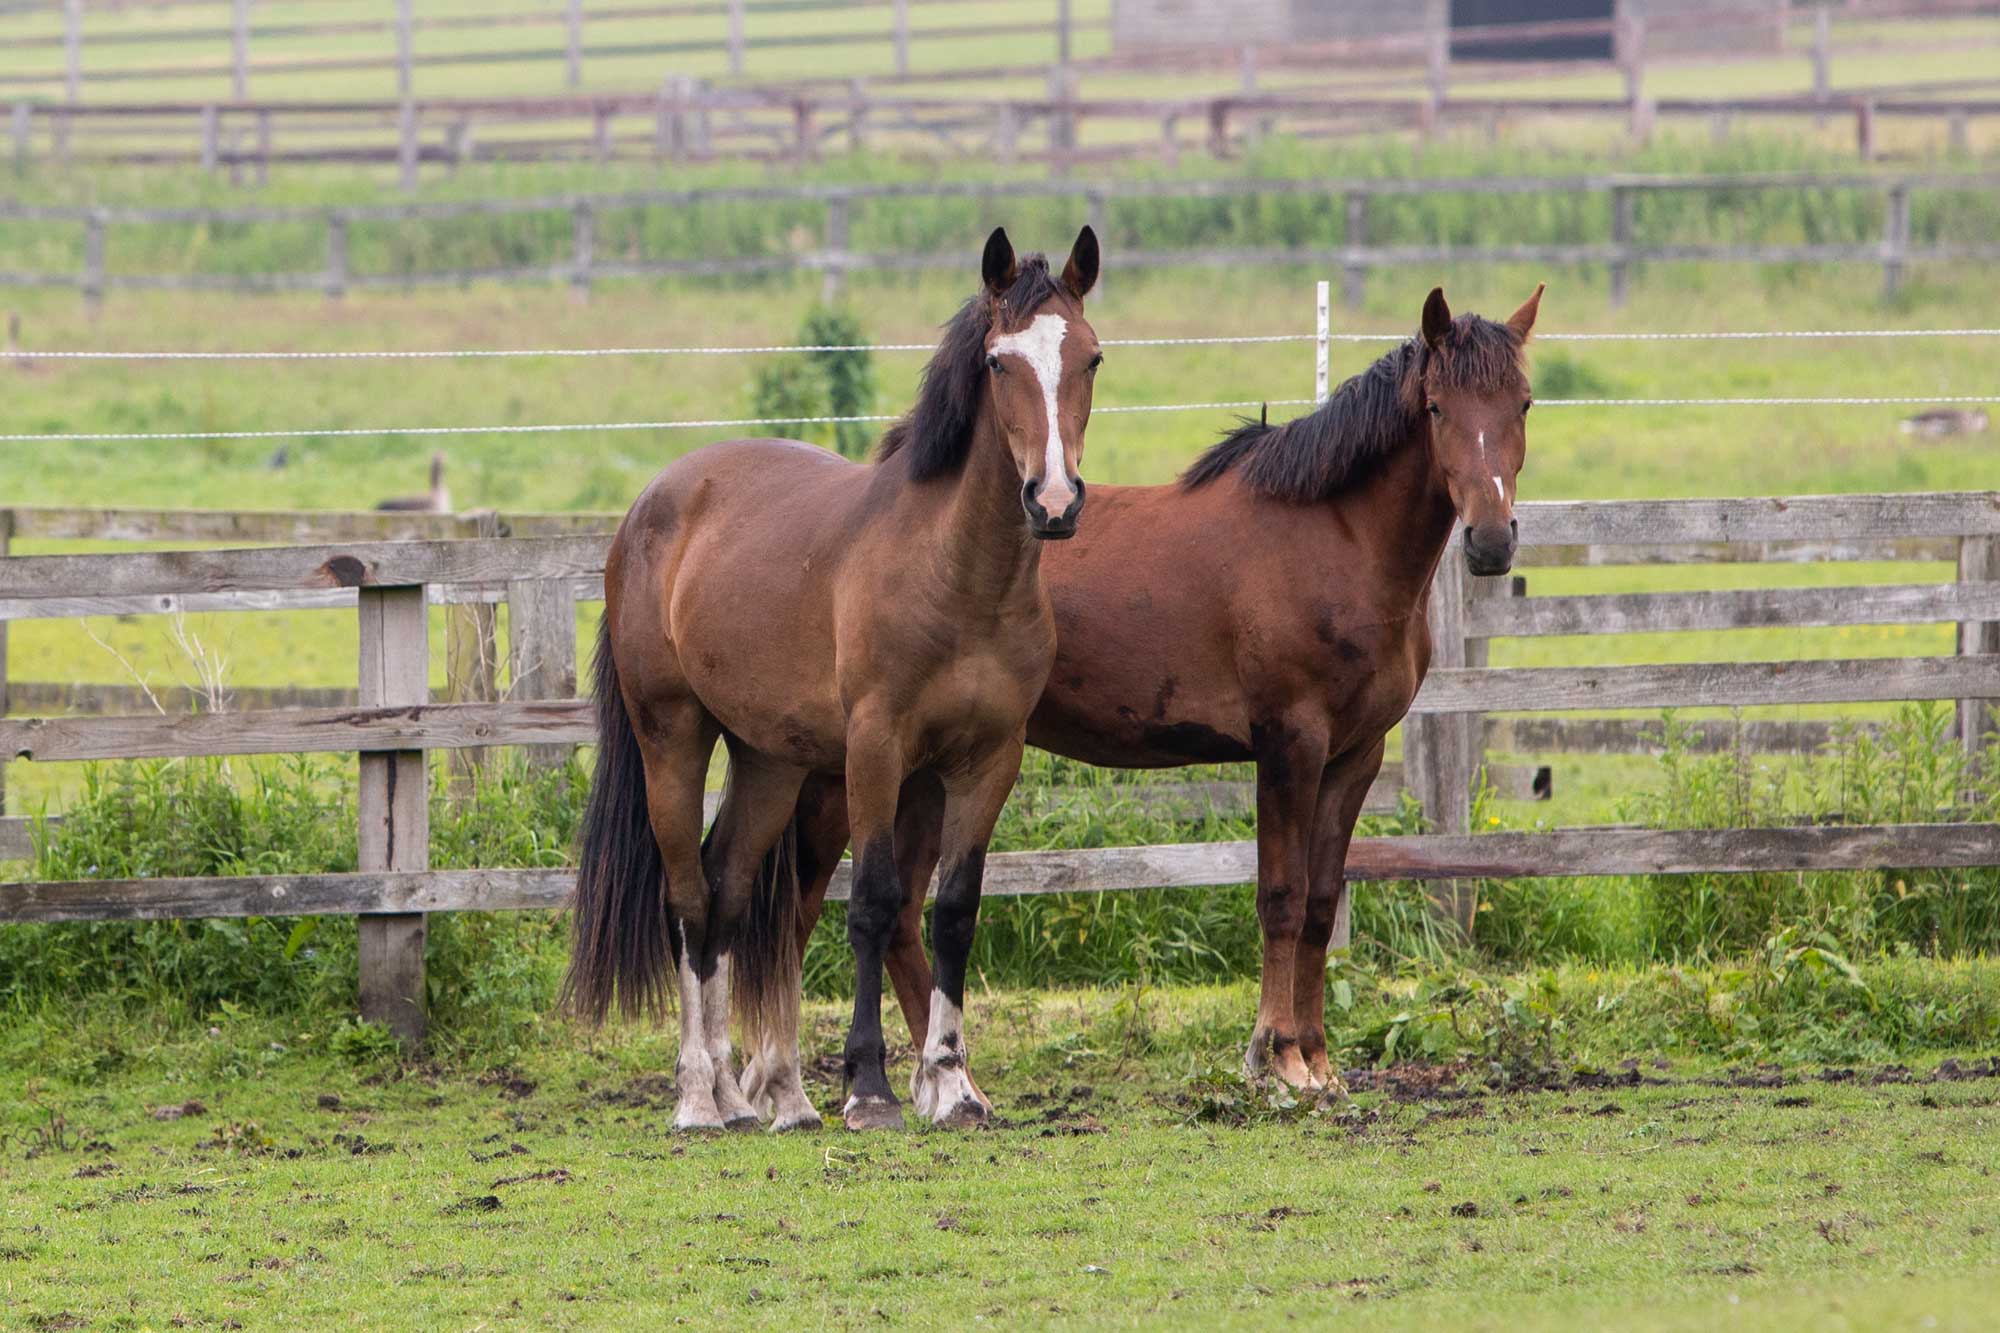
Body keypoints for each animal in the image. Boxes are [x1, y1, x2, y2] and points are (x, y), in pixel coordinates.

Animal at [568, 223, 1112, 1128]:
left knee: (728, 891)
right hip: (672, 735)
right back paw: (698, 1096)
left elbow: (953, 911)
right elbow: (873, 904)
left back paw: (752, 1096)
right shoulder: (875, 751)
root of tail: (654, 501)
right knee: (688, 897)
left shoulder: (988, 760)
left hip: (769, 763)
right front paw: (870, 1085)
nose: (1055, 499)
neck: (957, 577)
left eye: (1092, 358)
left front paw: (952, 1083)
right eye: (999, 361)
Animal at [772, 280, 1536, 1088]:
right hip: (852, 771)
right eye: (1437, 408)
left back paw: (940, 1070)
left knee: (899, 920)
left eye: (1522, 403)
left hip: (927, 767)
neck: (1335, 541)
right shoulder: (1289, 745)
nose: (1491, 540)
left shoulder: (1355, 755)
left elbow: (1323, 905)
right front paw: (1276, 1057)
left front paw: (1318, 1061)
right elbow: (1282, 897)